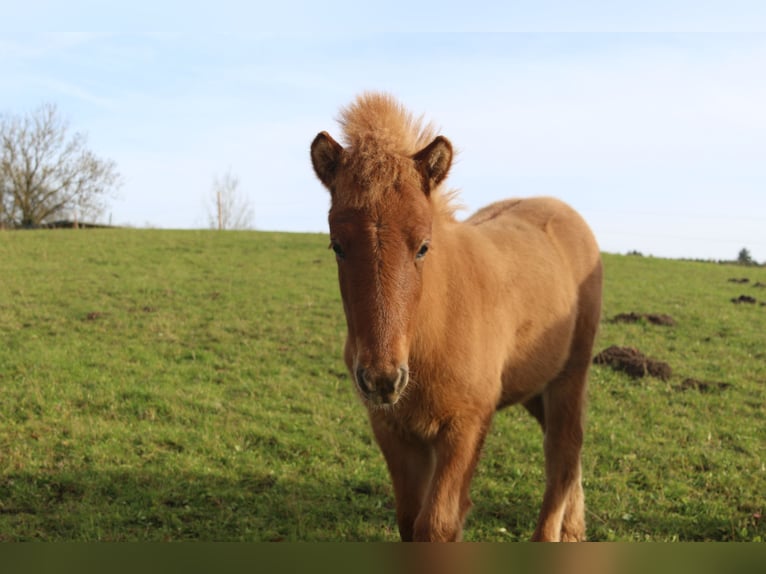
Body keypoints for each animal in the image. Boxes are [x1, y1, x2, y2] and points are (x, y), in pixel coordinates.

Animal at [310, 92, 603, 542]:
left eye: (423, 246)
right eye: (337, 245)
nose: (382, 378)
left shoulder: (465, 426)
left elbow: (437, 524)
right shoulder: (393, 429)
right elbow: (409, 520)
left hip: (569, 376)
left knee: (563, 453)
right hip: (535, 383)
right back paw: (574, 529)